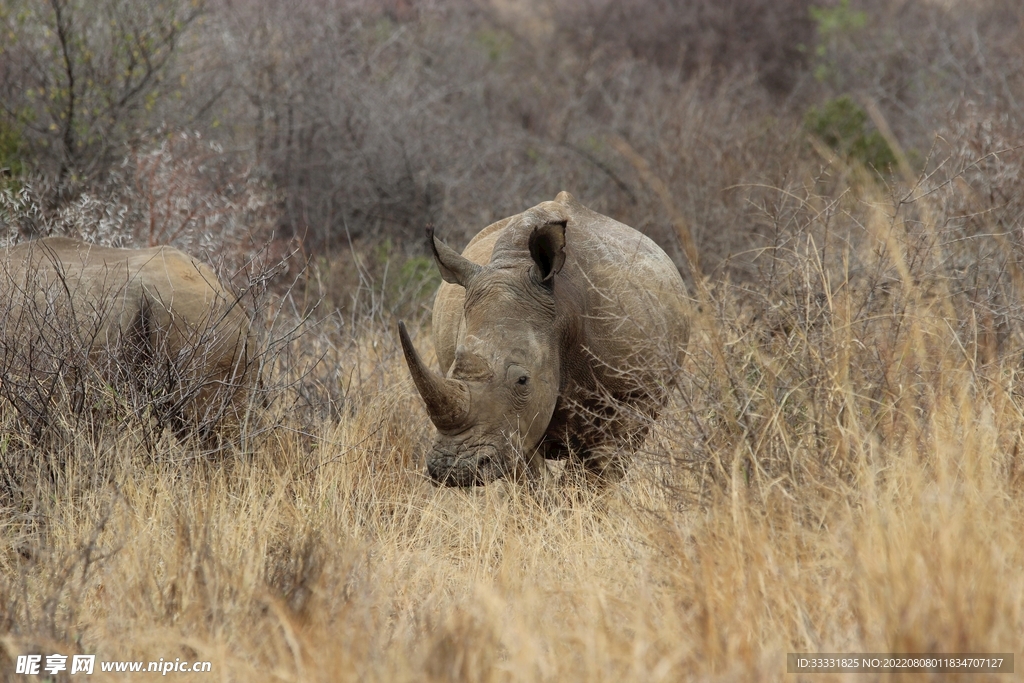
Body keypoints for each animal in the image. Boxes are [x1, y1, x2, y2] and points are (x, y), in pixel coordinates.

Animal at [397, 192, 688, 485]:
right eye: (451, 371)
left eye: (523, 380)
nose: (453, 470)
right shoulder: (511, 426)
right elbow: (530, 475)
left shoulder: (635, 394)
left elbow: (593, 472)